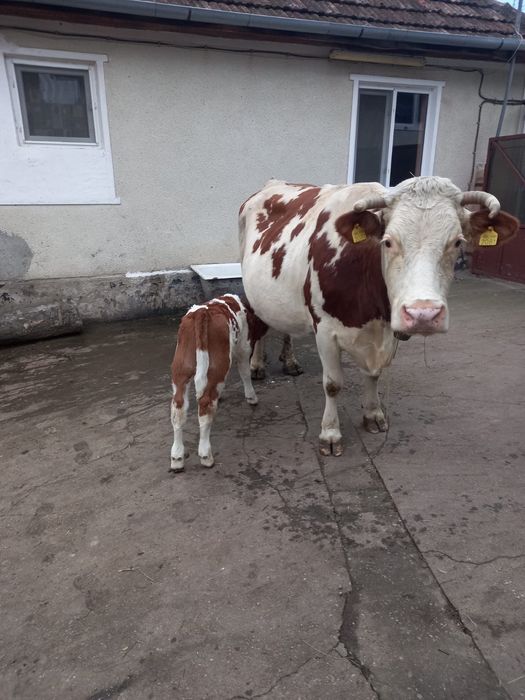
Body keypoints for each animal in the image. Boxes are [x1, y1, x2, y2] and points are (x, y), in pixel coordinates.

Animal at [170, 294, 265, 472]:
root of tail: (201, 312)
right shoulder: (244, 348)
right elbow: (244, 373)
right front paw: (251, 397)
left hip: (180, 370)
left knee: (178, 409)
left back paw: (177, 457)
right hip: (218, 366)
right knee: (205, 406)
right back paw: (206, 456)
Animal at [239, 176, 518, 456]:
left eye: (458, 242)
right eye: (388, 241)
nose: (423, 314)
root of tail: (274, 183)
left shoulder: (388, 329)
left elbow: (374, 375)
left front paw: (373, 414)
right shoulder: (325, 330)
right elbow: (332, 384)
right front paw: (330, 433)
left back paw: (289, 361)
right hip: (250, 287)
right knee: (259, 322)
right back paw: (257, 365)